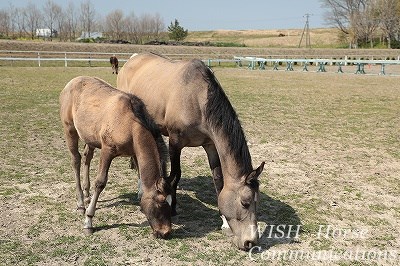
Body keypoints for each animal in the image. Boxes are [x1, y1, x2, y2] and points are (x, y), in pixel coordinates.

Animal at [59, 76, 172, 238]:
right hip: (70, 130)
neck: (131, 124)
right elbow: (100, 182)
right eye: (161, 201)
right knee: (76, 160)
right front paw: (88, 221)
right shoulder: (107, 151)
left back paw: (87, 195)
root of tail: (71, 83)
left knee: (87, 157)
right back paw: (81, 203)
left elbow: (140, 176)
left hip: (89, 138)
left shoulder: (134, 153)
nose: (165, 232)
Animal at [117, 52, 264, 249]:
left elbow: (218, 180)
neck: (196, 98)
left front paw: (224, 222)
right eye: (245, 202)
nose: (251, 242)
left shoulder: (210, 146)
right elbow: (175, 175)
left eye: (257, 202)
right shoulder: (175, 142)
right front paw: (172, 208)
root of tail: (132, 59)